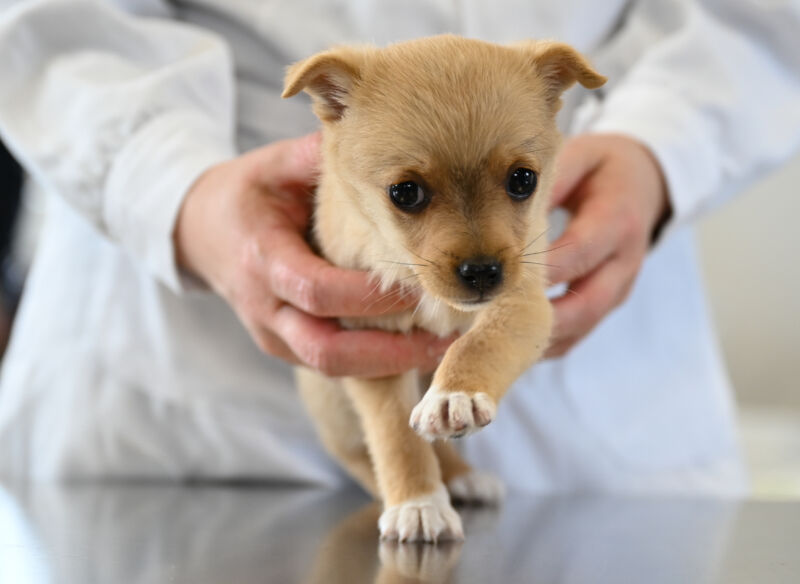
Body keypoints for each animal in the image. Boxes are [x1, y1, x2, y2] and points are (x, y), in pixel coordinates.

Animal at [284, 34, 604, 540]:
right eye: (405, 193)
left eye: (523, 180)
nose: (482, 272)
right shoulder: (370, 349)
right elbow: (395, 434)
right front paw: (417, 502)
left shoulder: (522, 302)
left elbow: (481, 343)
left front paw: (457, 394)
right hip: (331, 401)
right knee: (356, 452)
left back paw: (463, 476)